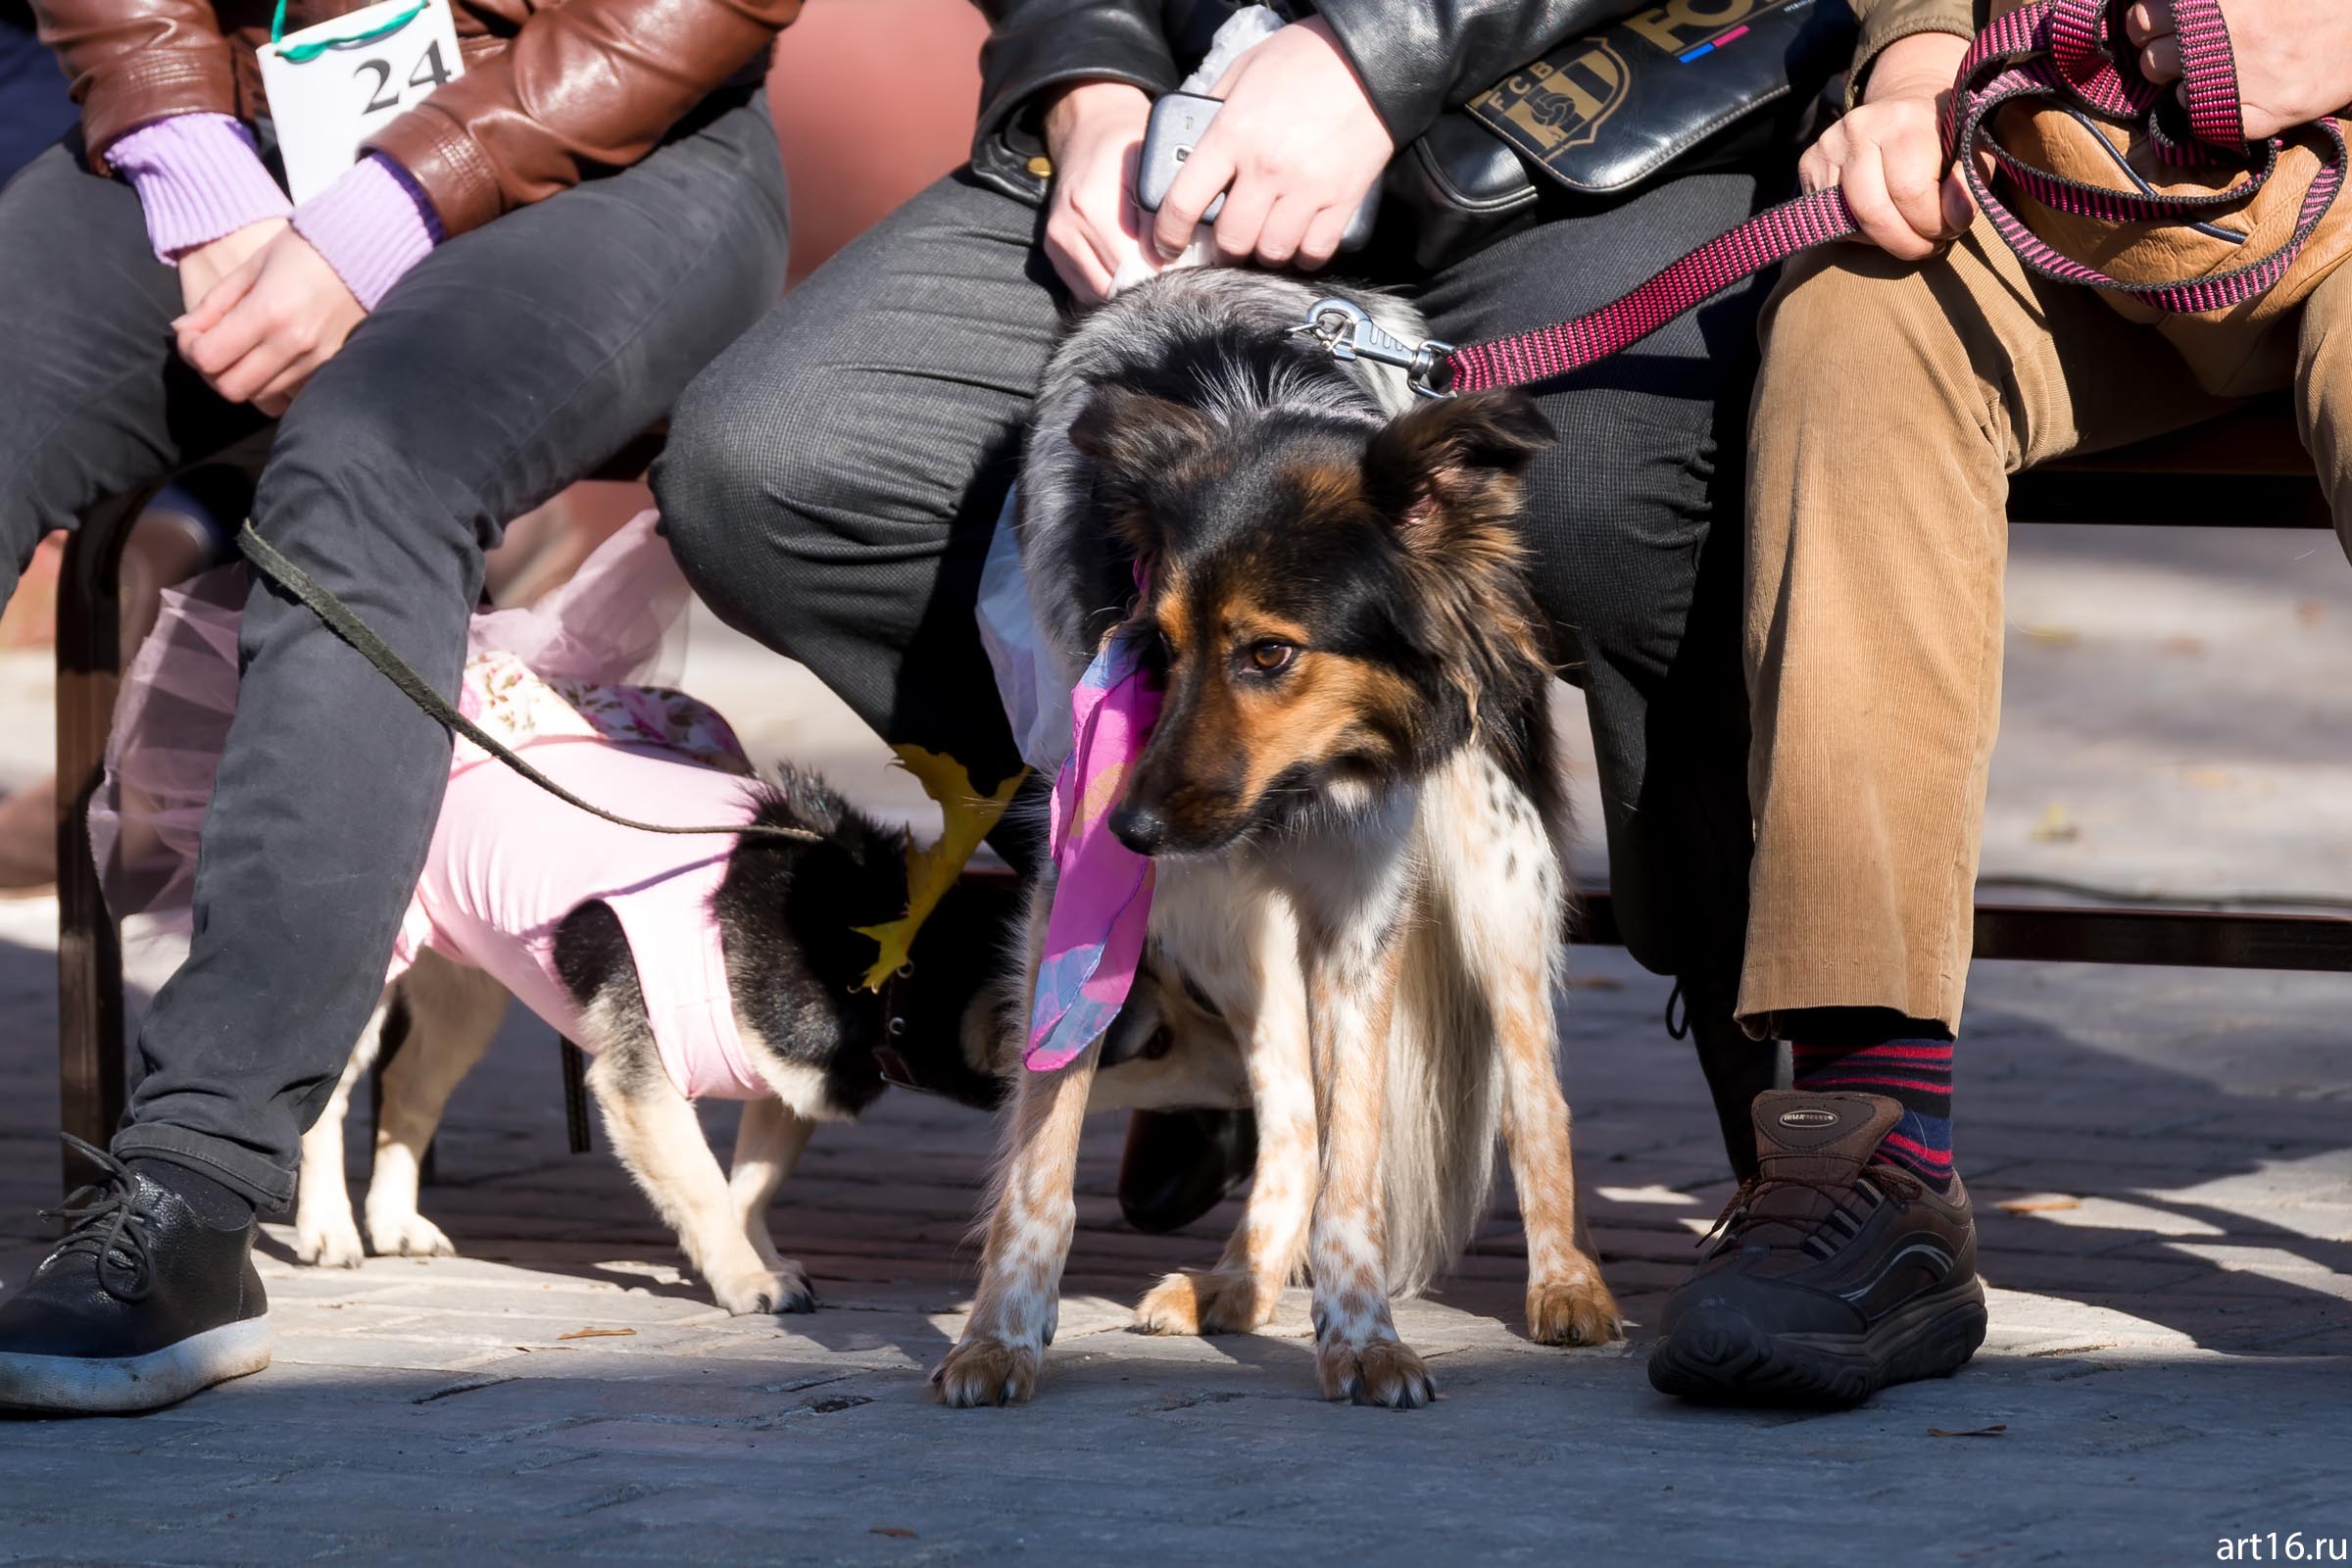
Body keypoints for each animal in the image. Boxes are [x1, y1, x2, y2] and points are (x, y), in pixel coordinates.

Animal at [931, 275, 1618, 1419]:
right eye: (1156, 647)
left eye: (1269, 653)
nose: (1133, 831)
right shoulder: (1087, 898)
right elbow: (1045, 1152)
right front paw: (1001, 1334)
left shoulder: (1363, 903)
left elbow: (1362, 1159)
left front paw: (1365, 1335)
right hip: (1217, 917)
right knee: (1289, 1104)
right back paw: (1236, 1285)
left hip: (1494, 869)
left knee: (1534, 1092)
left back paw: (1567, 1282)